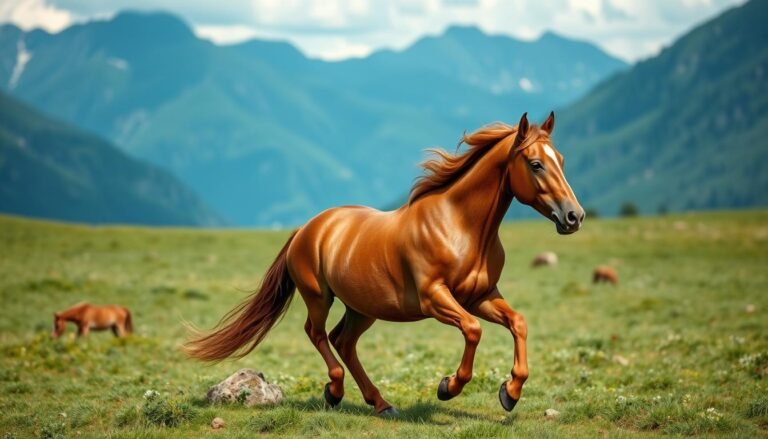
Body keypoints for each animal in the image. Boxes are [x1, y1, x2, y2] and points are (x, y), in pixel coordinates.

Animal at [185, 112, 584, 416]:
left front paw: (510, 393)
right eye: (535, 164)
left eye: (563, 161)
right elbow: (473, 330)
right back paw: (335, 391)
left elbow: (518, 323)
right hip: (319, 296)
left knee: (343, 341)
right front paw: (448, 387)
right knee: (317, 333)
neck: (461, 227)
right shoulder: (435, 298)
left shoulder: (481, 296)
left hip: (363, 307)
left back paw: (380, 403)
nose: (574, 216)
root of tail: (308, 227)